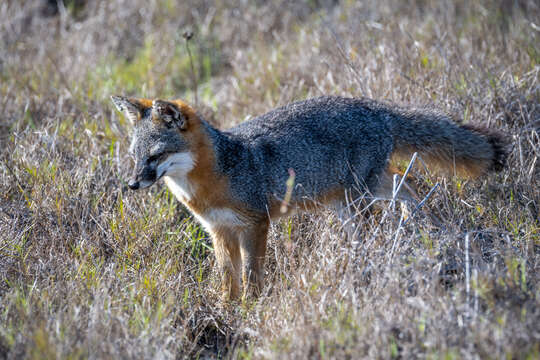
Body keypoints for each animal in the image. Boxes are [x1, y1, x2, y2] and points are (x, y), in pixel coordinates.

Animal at [110, 94, 510, 300]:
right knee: (408, 183)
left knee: (390, 206)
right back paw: (426, 225)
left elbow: (252, 275)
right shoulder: (219, 231)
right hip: (354, 194)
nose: (131, 184)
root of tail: (373, 107)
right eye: (135, 156)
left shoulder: (256, 224)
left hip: (355, 201)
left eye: (155, 156)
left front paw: (252, 307)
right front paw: (226, 308)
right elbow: (228, 279)